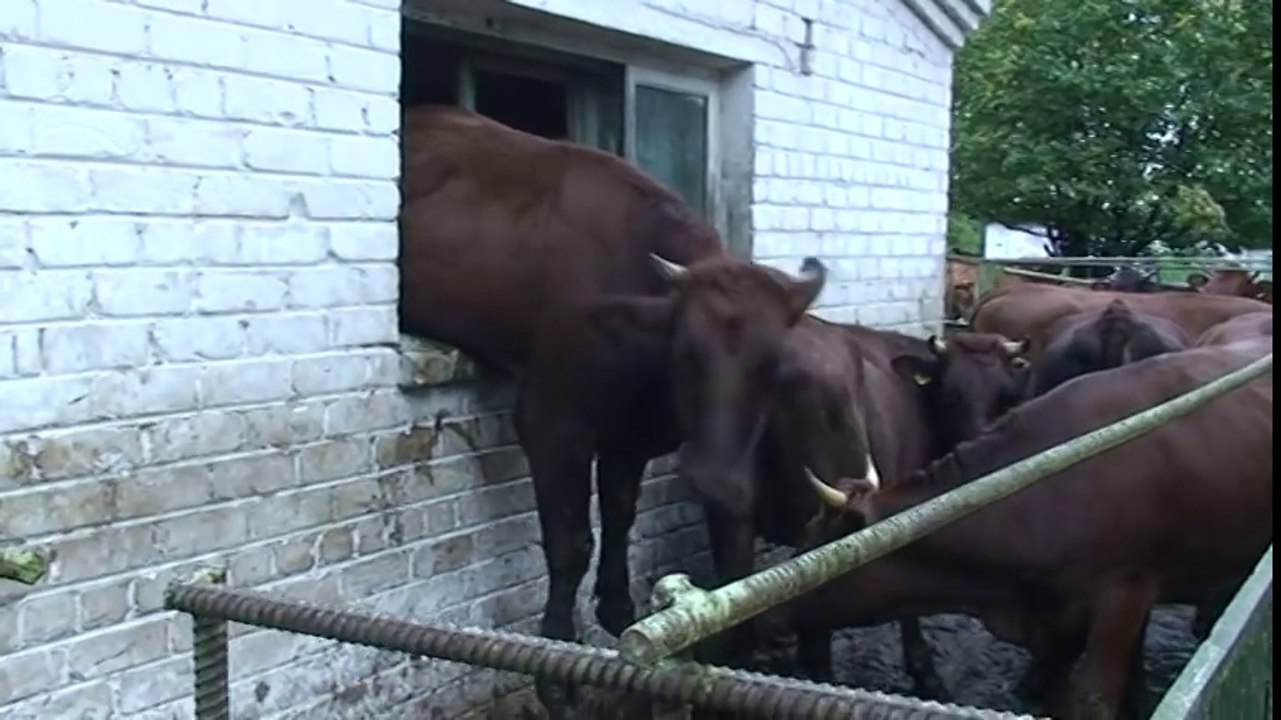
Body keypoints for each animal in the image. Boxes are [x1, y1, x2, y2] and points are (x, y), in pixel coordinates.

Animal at [399, 104, 731, 717]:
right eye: (691, 350)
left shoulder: (628, 434)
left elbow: (619, 516)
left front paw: (619, 611)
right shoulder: (553, 418)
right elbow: (571, 543)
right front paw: (557, 671)